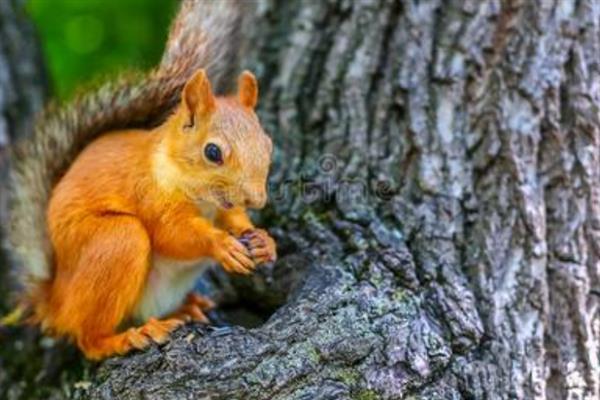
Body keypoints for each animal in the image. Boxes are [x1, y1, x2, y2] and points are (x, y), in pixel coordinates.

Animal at [3, 0, 276, 360]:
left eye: (268, 144)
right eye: (213, 152)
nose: (257, 199)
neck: (199, 195)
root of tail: (55, 301)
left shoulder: (222, 207)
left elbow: (234, 218)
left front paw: (261, 239)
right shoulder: (149, 195)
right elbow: (174, 234)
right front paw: (221, 244)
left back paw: (184, 310)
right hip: (116, 242)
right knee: (88, 338)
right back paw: (126, 338)